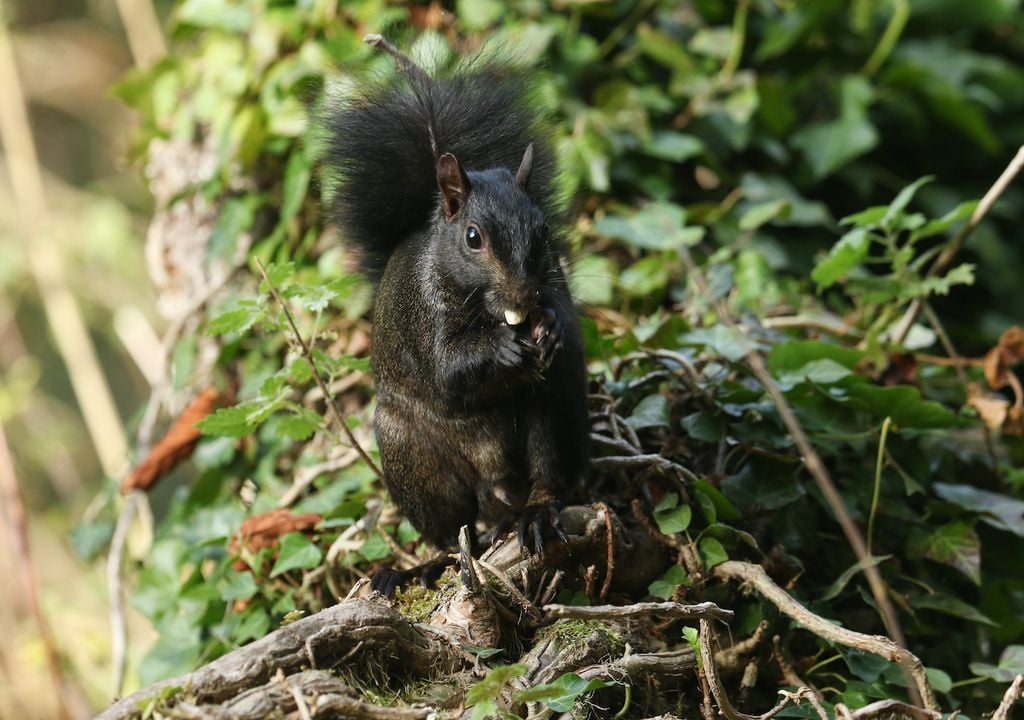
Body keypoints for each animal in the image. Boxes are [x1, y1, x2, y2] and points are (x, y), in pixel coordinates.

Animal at [321, 36, 593, 594]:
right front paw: (503, 347)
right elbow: (448, 369)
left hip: (552, 412)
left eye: (544, 233)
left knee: (547, 475)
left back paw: (535, 515)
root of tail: (500, 494)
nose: (525, 296)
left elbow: (562, 314)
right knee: (452, 529)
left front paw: (550, 328)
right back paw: (424, 565)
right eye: (473, 237)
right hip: (416, 462)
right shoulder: (422, 318)